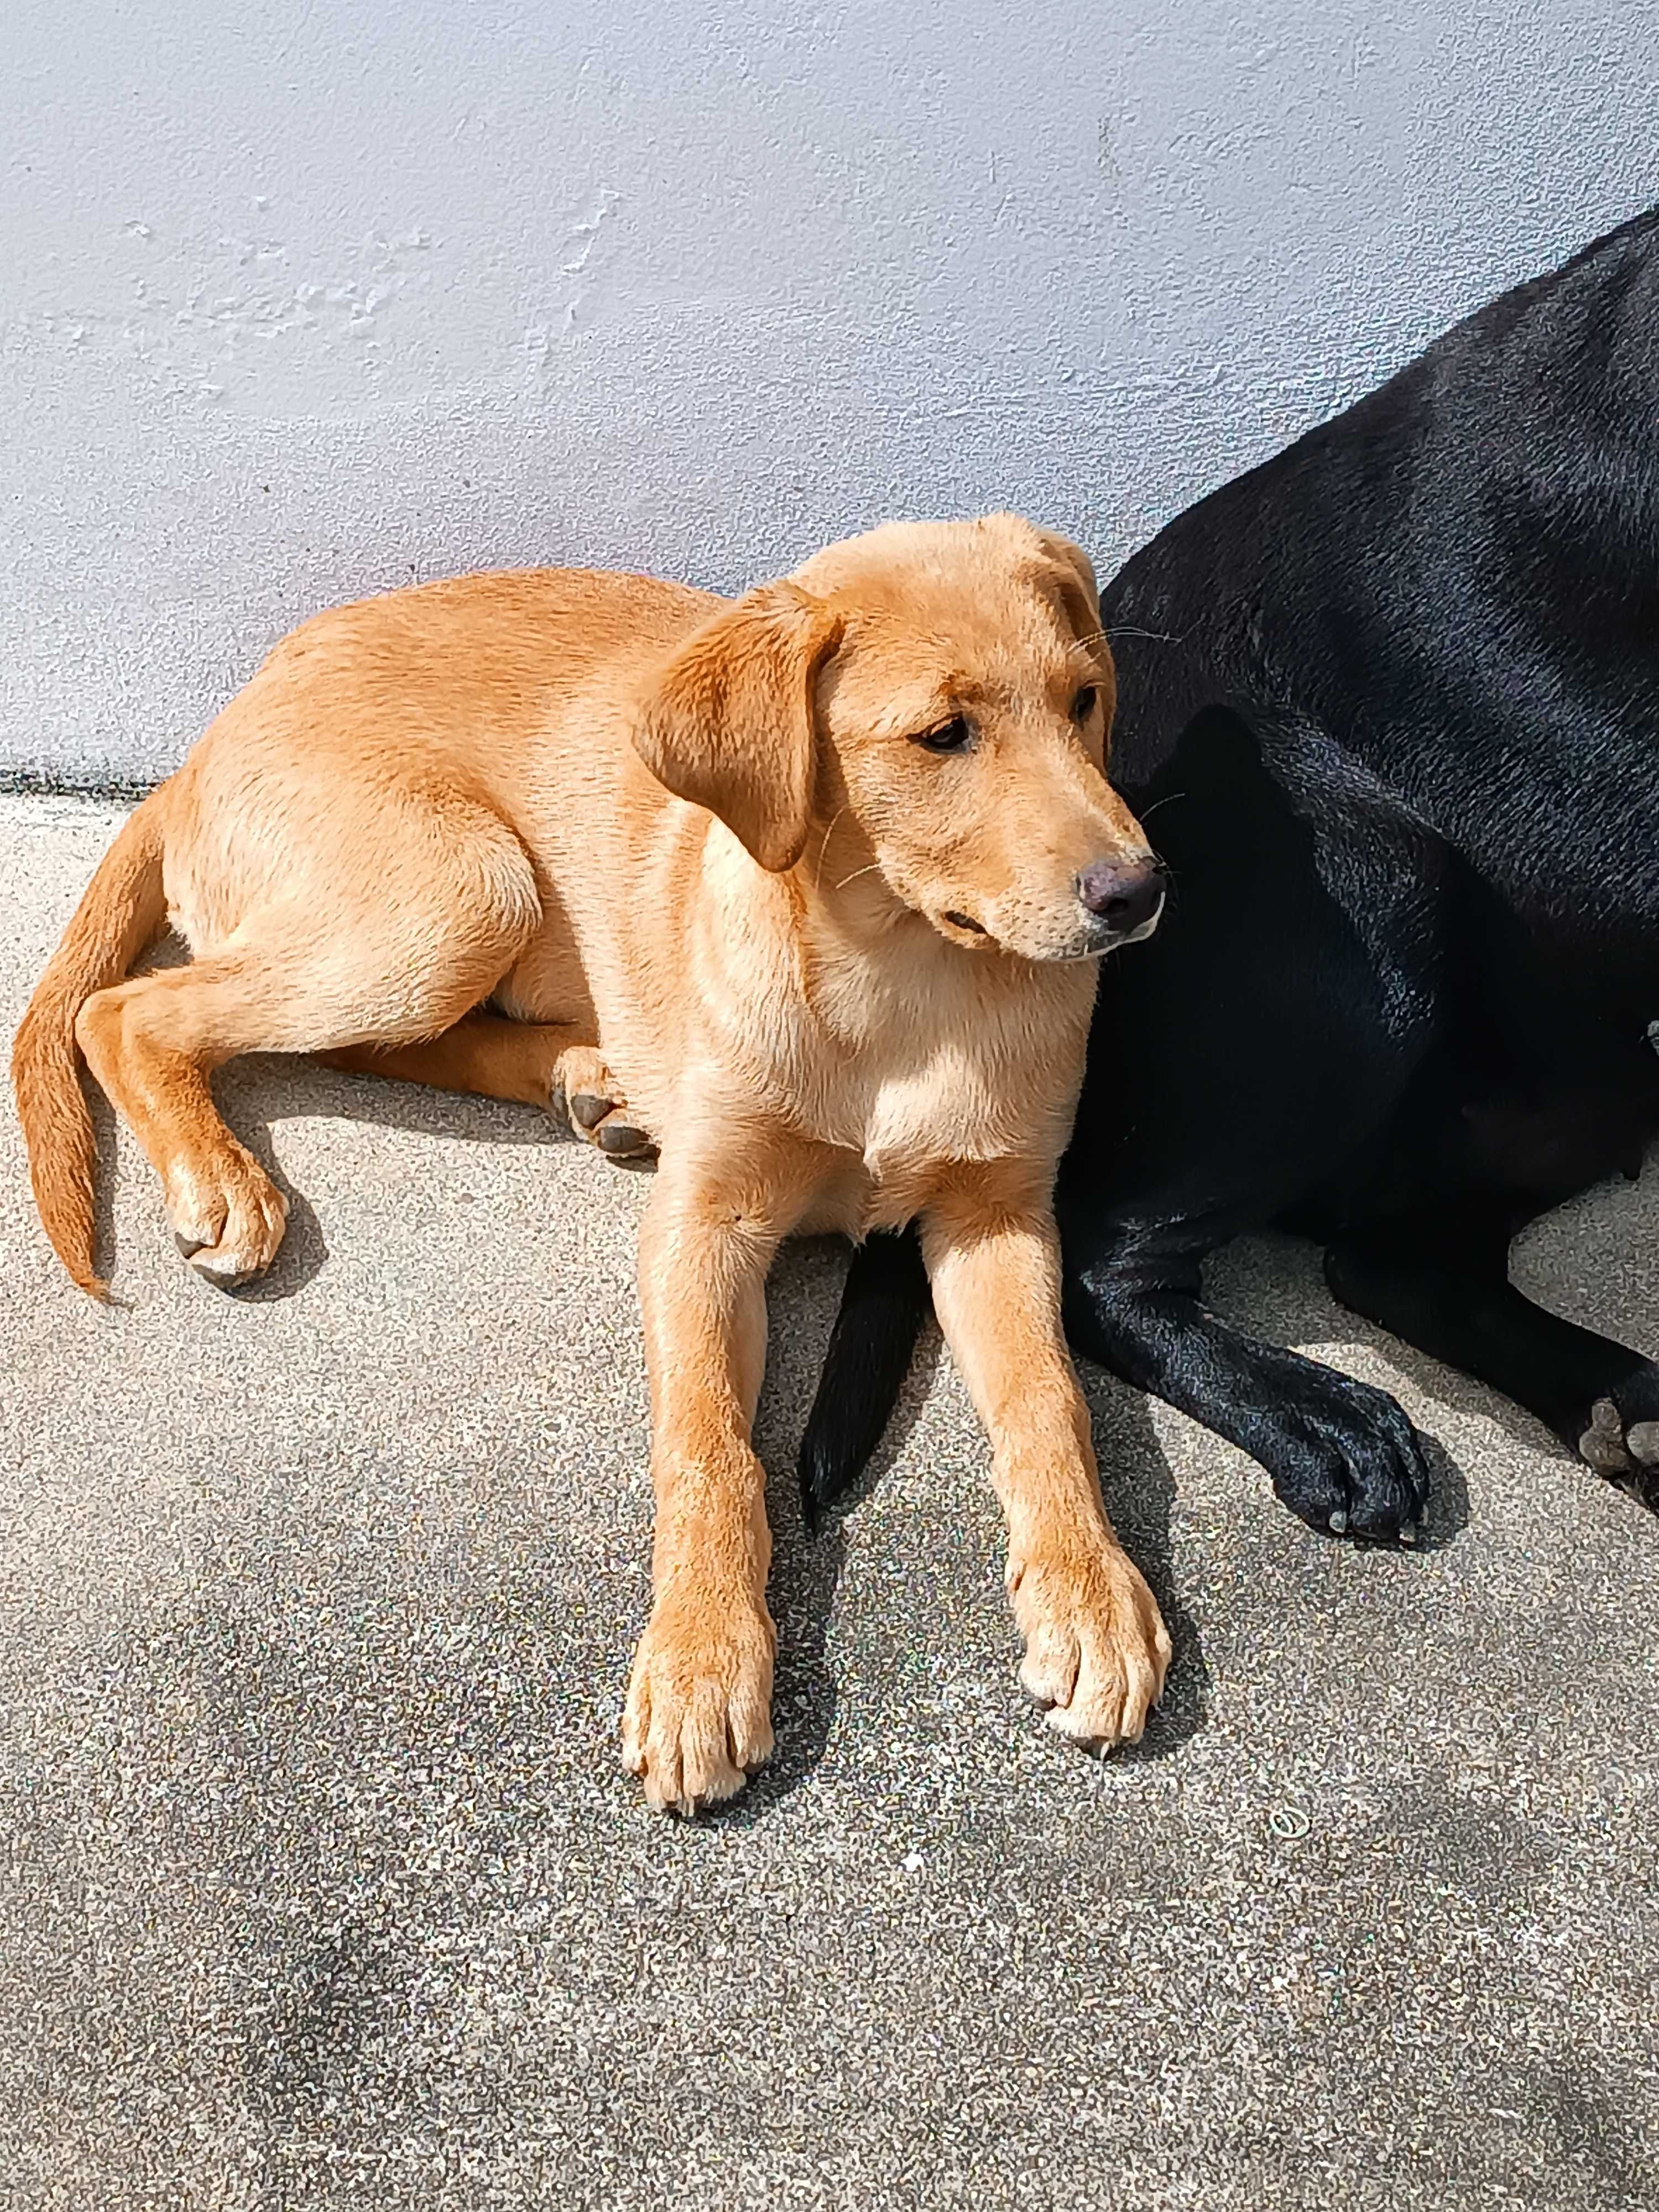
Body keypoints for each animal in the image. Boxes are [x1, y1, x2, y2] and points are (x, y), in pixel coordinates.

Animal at [19, 518, 1177, 1814]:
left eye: (1084, 702)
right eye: (944, 735)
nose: (1140, 892)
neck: (898, 987)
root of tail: (203, 739)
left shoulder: (1000, 1216)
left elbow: (1050, 1400)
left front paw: (1091, 1593)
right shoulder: (702, 1221)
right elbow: (708, 1441)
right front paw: (702, 1658)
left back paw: (590, 1079)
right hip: (457, 889)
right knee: (128, 1010)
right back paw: (221, 1175)